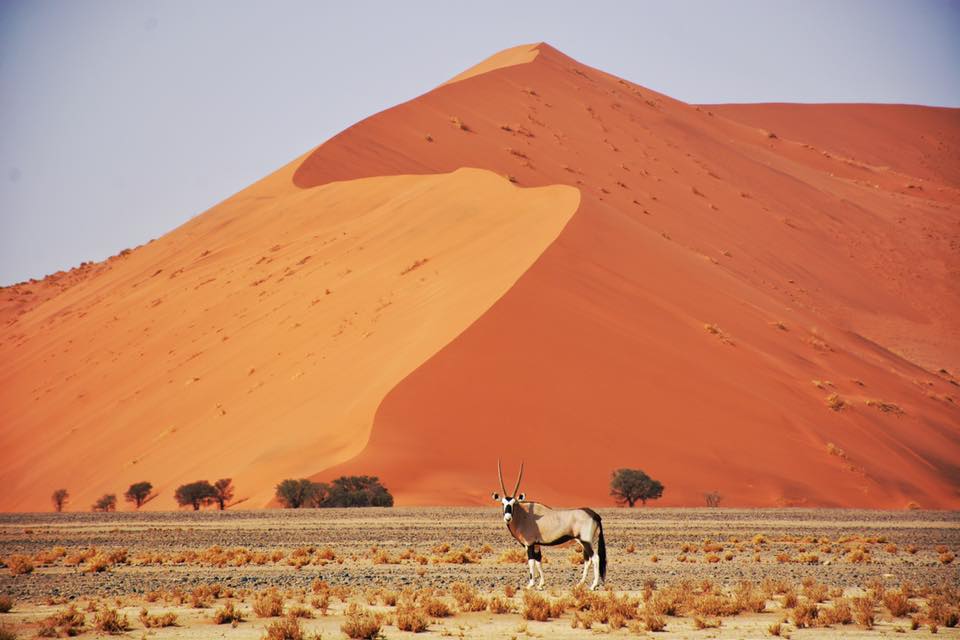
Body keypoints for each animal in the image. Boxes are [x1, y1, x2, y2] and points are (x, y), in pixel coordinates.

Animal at [496, 460, 608, 592]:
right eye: (503, 503)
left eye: (514, 503)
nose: (508, 518)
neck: (524, 514)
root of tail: (594, 514)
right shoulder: (537, 544)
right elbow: (538, 561)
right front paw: (541, 584)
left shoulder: (529, 544)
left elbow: (531, 562)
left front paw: (530, 585)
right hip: (584, 542)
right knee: (587, 560)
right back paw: (580, 584)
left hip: (586, 541)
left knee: (595, 558)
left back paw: (593, 585)